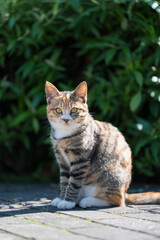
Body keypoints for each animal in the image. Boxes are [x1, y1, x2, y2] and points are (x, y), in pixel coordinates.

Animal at [45, 80, 160, 208]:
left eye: (74, 110)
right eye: (58, 110)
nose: (66, 120)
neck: (65, 135)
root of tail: (125, 192)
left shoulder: (81, 160)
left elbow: (74, 182)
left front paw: (67, 201)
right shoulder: (62, 159)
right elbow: (64, 180)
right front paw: (61, 198)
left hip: (110, 175)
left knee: (117, 200)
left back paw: (88, 201)